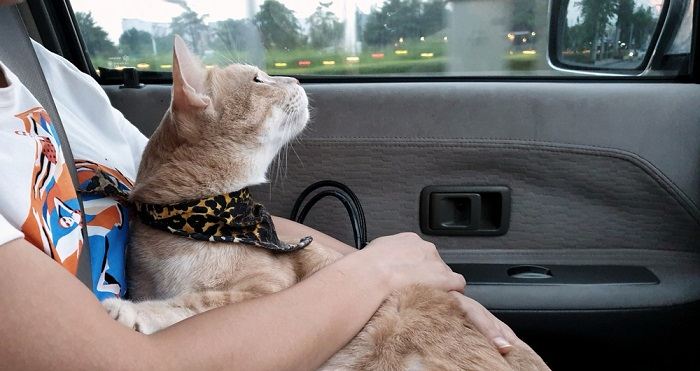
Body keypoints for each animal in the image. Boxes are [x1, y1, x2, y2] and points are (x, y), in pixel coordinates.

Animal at [102, 35, 552, 371]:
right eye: (259, 80)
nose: (298, 80)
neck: (194, 221)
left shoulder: (269, 287)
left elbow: (201, 301)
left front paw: (140, 313)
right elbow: (196, 300)